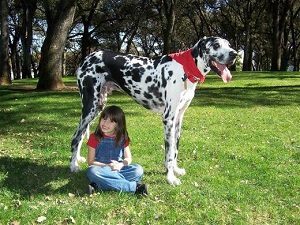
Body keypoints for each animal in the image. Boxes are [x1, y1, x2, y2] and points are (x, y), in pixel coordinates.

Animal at [70, 36, 237, 185]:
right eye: (216, 45)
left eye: (229, 44)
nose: (234, 54)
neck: (185, 70)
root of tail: (87, 58)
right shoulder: (168, 118)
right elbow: (169, 153)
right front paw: (170, 178)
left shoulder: (178, 118)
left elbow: (175, 149)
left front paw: (175, 170)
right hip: (91, 106)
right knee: (76, 137)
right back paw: (73, 166)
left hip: (98, 106)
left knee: (81, 135)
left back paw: (78, 159)